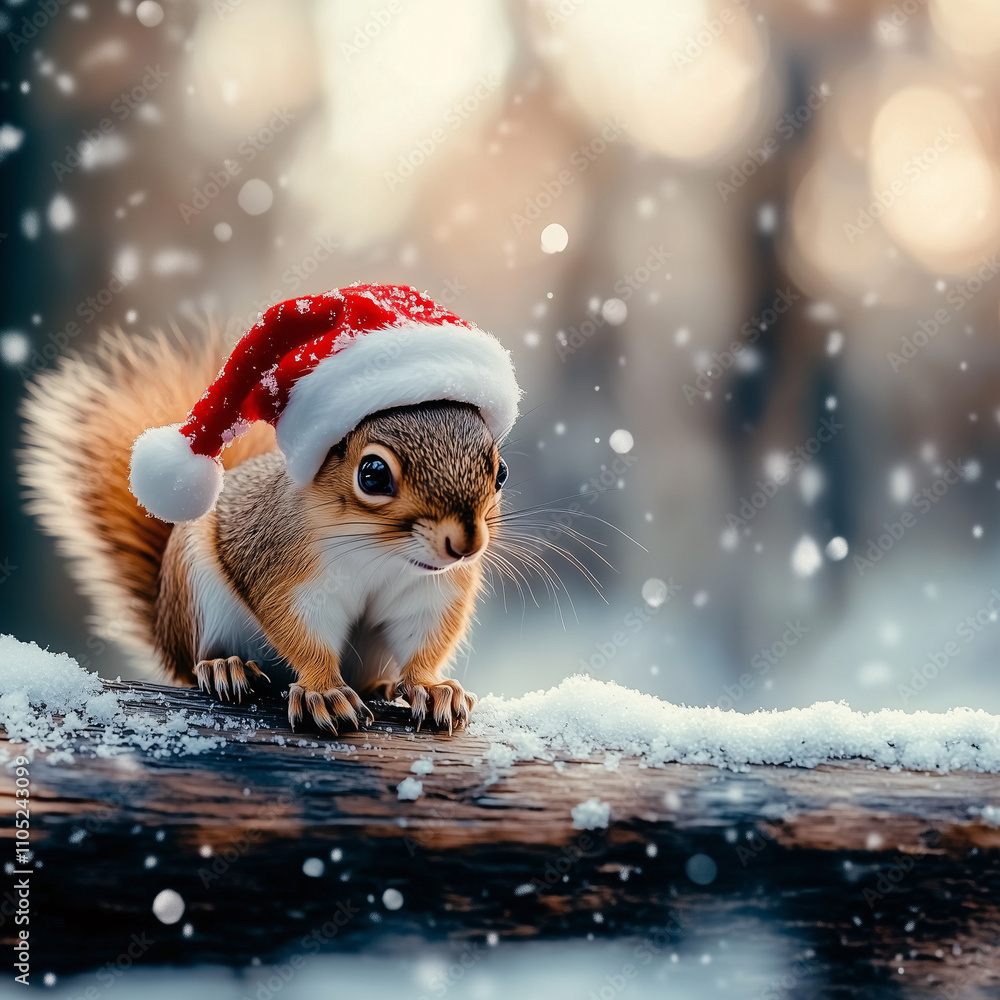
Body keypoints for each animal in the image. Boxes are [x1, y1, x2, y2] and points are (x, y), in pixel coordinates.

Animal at [19, 285, 521, 735]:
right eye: (373, 474)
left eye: (501, 472)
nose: (465, 544)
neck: (380, 555)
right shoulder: (284, 568)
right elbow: (300, 631)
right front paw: (324, 691)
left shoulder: (432, 593)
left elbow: (425, 642)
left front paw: (432, 688)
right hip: (194, 593)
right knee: (196, 661)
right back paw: (225, 666)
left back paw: (381, 685)